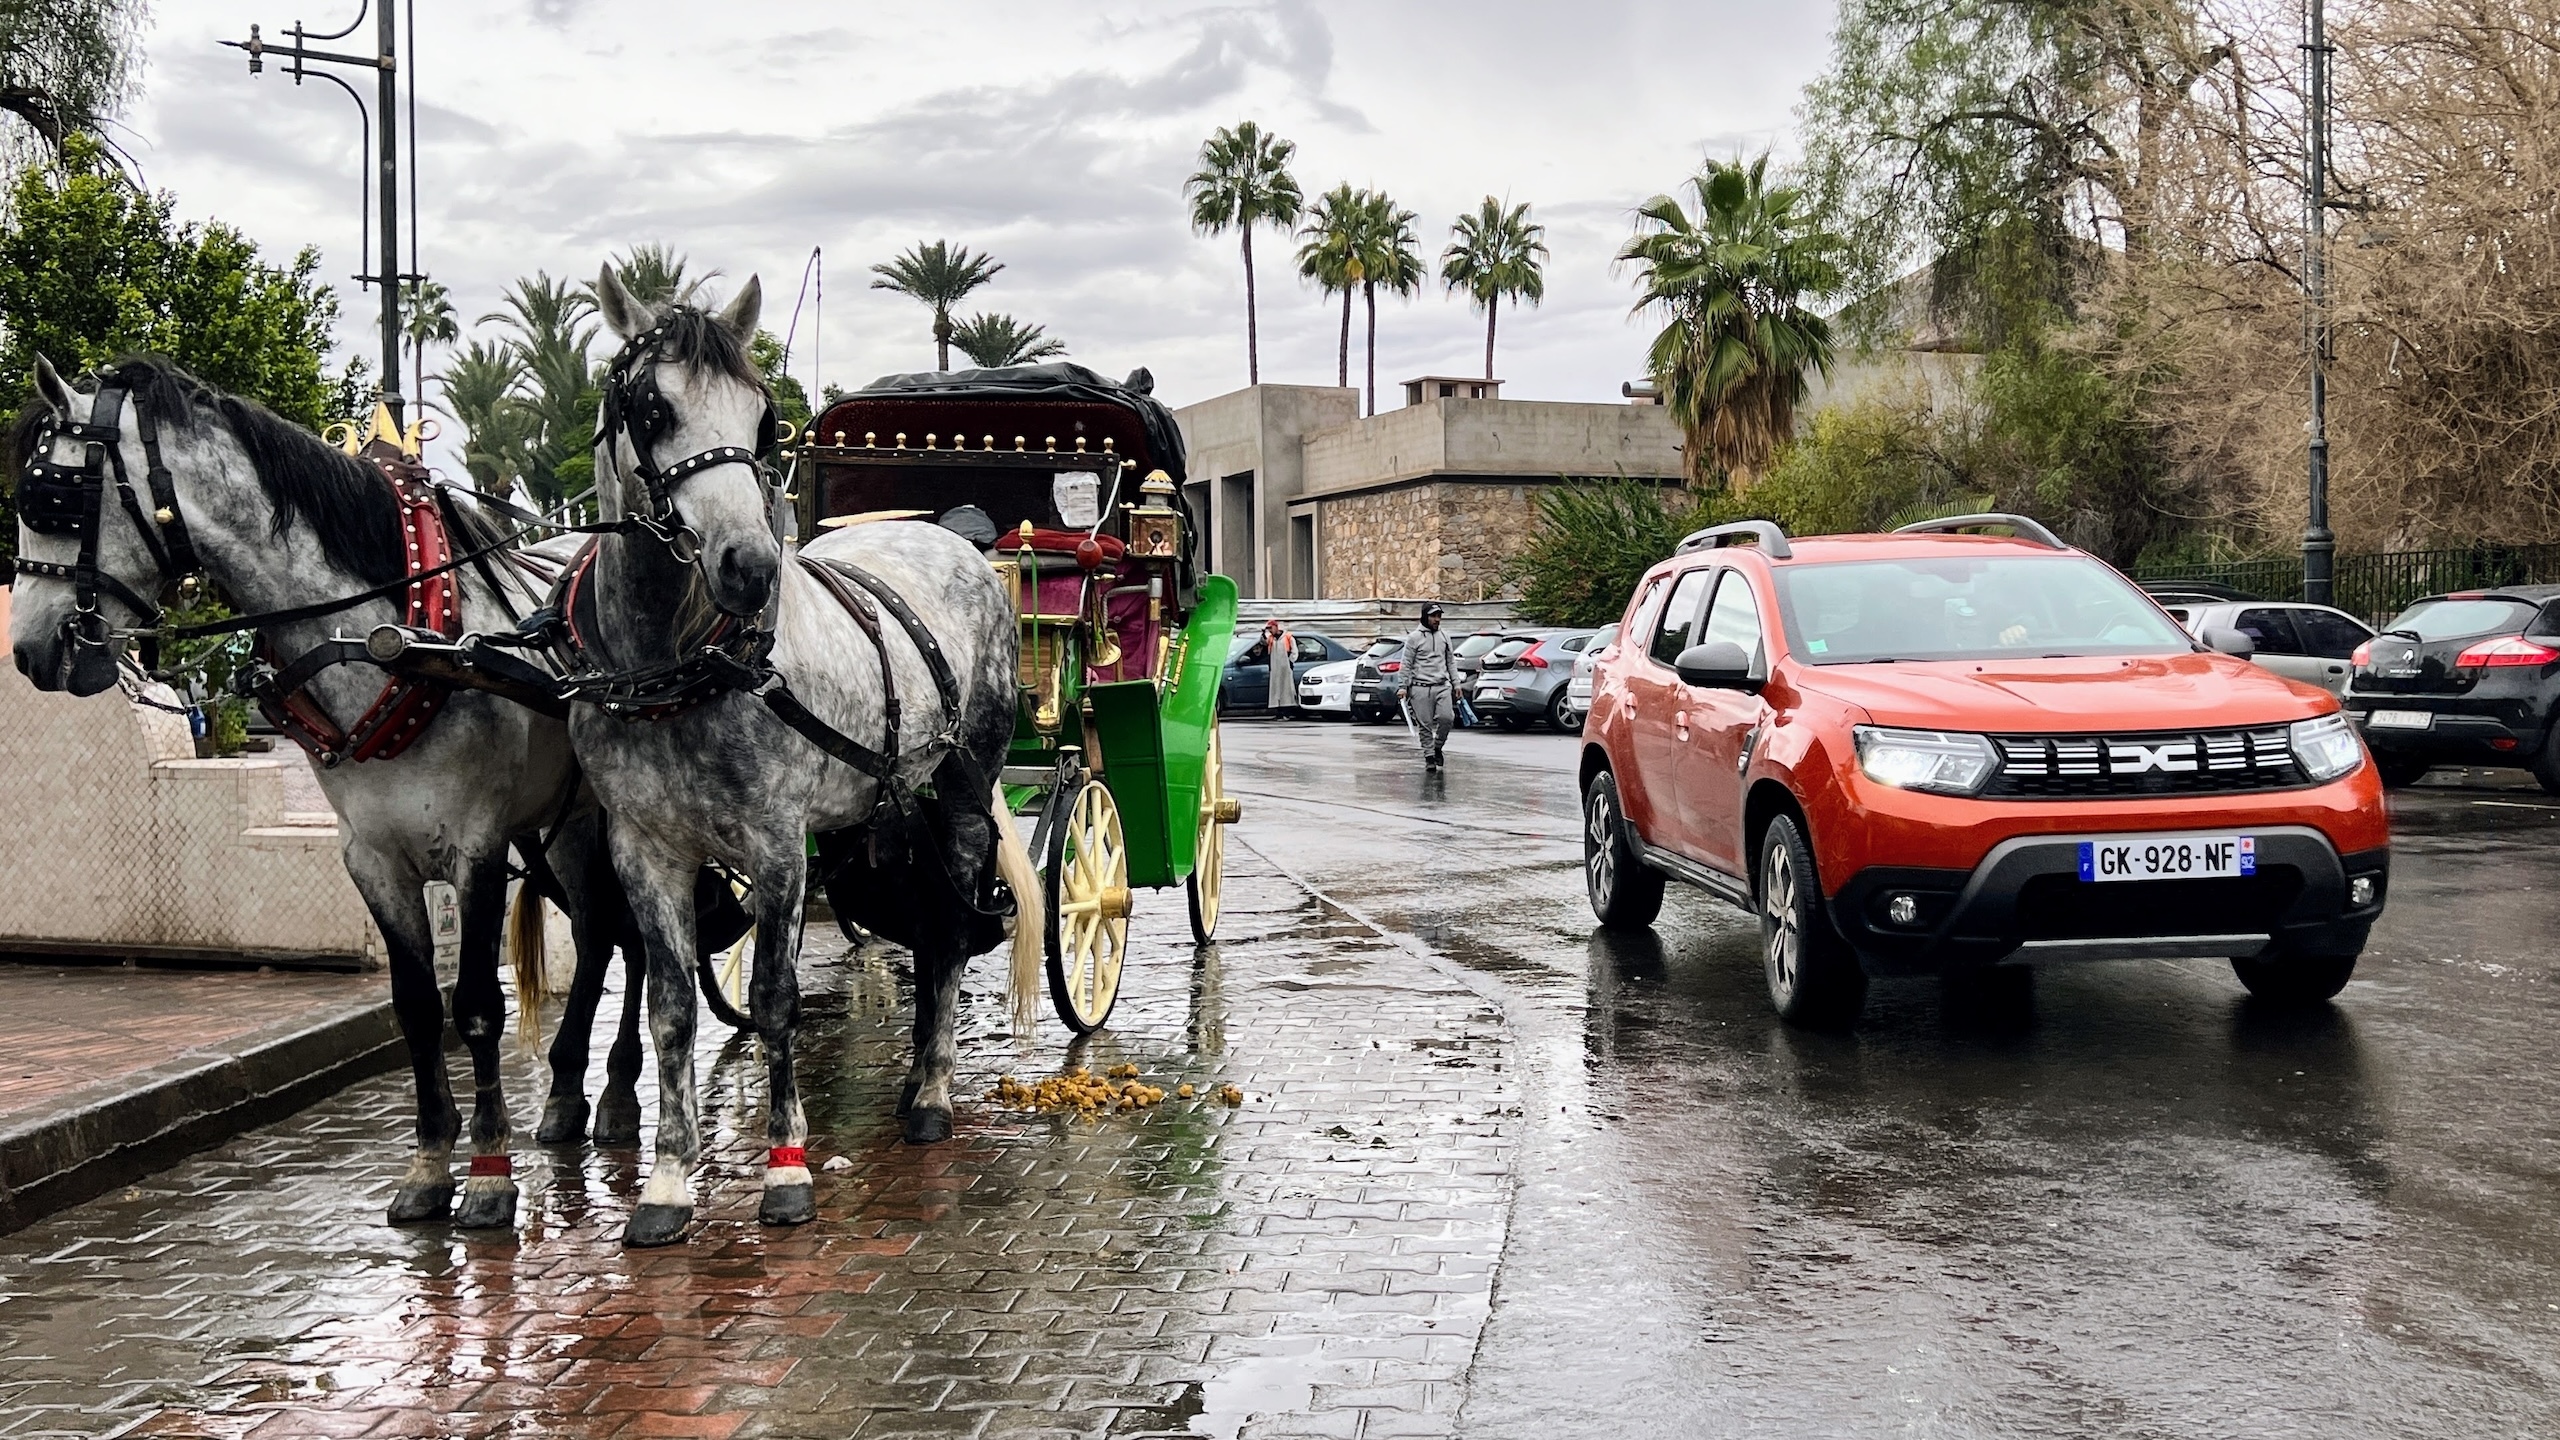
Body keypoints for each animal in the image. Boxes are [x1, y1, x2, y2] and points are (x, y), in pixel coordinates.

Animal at [12, 356, 650, 1219]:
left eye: (55, 497)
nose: (30, 650)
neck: (387, 640)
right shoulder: (373, 855)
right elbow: (416, 1008)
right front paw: (430, 1163)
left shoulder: (475, 846)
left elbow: (477, 1006)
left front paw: (489, 1173)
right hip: (560, 822)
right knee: (596, 936)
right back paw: (564, 1097)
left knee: (631, 935)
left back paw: (614, 1094)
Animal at [570, 269, 1029, 1245]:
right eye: (652, 408)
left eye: (760, 418)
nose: (749, 568)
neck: (680, 668)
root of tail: (951, 534)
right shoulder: (645, 850)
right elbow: (671, 1009)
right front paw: (668, 1180)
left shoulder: (778, 846)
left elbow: (777, 998)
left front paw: (786, 1170)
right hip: (885, 801)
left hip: (966, 783)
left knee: (947, 931)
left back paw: (931, 1091)